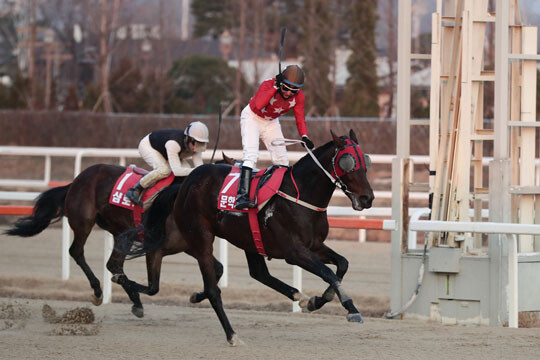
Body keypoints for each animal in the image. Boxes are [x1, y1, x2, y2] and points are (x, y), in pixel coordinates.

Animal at [4, 159, 230, 316]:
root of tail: (76, 180)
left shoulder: (189, 244)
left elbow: (218, 269)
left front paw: (196, 296)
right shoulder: (158, 244)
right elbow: (154, 285)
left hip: (121, 233)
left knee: (113, 264)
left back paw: (134, 300)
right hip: (85, 221)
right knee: (77, 252)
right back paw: (98, 292)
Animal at [118, 130, 374, 346]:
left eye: (366, 161)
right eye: (348, 161)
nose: (367, 198)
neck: (300, 195)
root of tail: (185, 184)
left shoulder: (315, 245)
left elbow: (342, 264)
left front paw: (321, 299)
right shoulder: (294, 251)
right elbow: (328, 272)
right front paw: (351, 308)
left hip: (242, 240)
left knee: (257, 273)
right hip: (199, 238)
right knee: (213, 289)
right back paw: (232, 335)